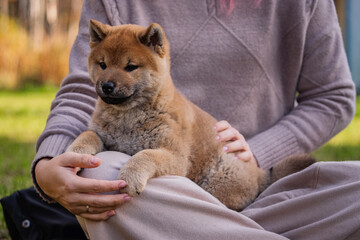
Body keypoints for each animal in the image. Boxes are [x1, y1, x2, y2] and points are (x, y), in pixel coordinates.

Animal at [67, 19, 316, 211]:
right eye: (102, 64)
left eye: (130, 67)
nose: (107, 86)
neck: (127, 117)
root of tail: (260, 174)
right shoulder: (102, 134)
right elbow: (87, 135)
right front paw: (74, 154)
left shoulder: (175, 156)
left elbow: (144, 155)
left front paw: (129, 177)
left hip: (219, 178)